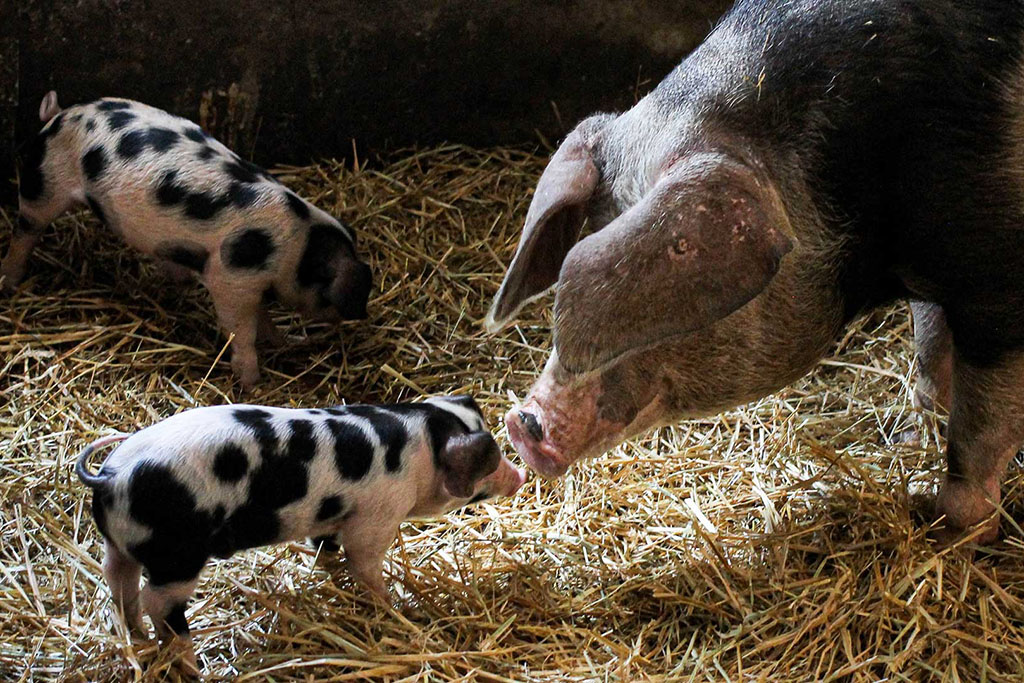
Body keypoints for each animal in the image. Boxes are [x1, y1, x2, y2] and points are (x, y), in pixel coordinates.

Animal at [2, 91, 372, 386]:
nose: (355, 316)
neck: (297, 246)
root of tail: (59, 115)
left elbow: (261, 318)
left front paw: (282, 342)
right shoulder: (230, 277)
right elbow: (241, 330)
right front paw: (254, 383)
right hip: (45, 184)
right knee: (26, 230)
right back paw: (9, 281)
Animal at [74, 395, 526, 673]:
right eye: (489, 465)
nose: (520, 476)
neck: (422, 443)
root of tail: (113, 476)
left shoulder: (329, 517)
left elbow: (326, 548)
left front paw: (333, 575)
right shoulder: (376, 518)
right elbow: (364, 563)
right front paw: (394, 607)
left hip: (119, 544)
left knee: (118, 583)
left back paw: (137, 638)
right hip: (177, 556)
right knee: (158, 601)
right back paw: (191, 664)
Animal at [489, 0, 1024, 546]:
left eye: (670, 302)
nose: (521, 422)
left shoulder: (1000, 296)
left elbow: (979, 433)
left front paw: (946, 535)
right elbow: (930, 354)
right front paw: (912, 439)